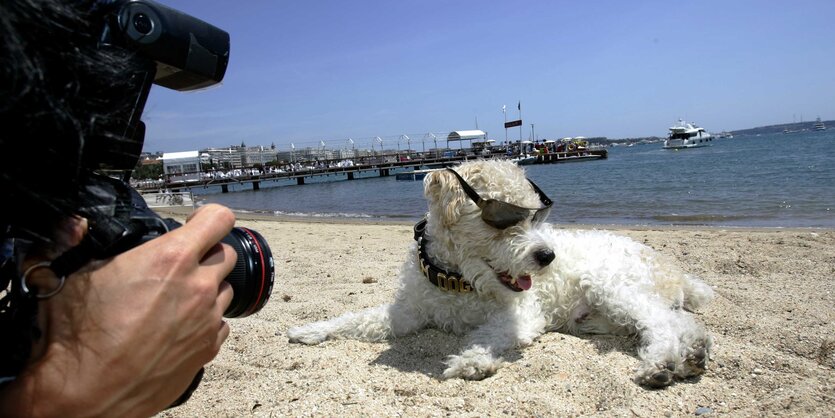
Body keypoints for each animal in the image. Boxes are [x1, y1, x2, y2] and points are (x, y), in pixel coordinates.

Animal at [288, 158, 712, 386]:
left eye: (536, 216)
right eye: (504, 220)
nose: (548, 256)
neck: (457, 284)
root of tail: (672, 269)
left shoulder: (522, 315)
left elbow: (487, 335)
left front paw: (471, 360)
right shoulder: (407, 313)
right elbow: (358, 319)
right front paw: (311, 330)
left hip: (613, 288)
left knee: (661, 323)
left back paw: (662, 363)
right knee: (678, 323)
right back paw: (691, 354)